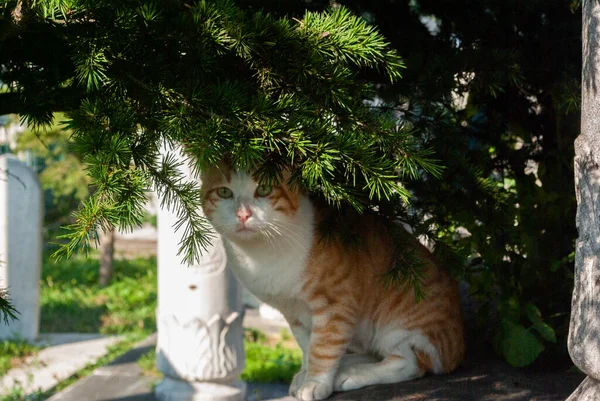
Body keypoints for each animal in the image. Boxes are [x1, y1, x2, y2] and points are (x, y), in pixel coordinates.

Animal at [202, 166, 464, 400]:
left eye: (264, 189)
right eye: (224, 192)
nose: (243, 215)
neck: (259, 252)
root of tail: (456, 348)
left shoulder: (335, 304)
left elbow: (323, 346)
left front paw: (315, 383)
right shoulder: (293, 311)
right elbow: (307, 345)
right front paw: (306, 372)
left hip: (400, 327)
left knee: (407, 363)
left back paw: (352, 374)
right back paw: (346, 363)